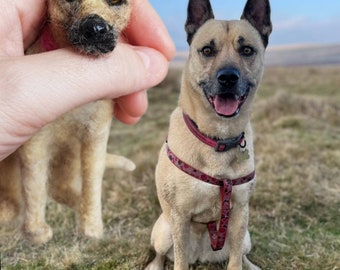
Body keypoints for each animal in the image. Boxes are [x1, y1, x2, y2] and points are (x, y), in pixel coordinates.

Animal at [0, 0, 133, 245]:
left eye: (116, 2)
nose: (95, 28)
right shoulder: (34, 142)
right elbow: (33, 183)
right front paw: (36, 231)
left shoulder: (96, 134)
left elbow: (92, 178)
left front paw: (91, 227)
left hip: (71, 156)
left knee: (61, 188)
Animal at [146, 0, 270, 270]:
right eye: (207, 50)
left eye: (247, 50)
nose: (228, 78)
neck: (217, 139)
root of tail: (202, 255)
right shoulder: (179, 216)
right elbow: (180, 262)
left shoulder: (239, 212)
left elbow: (235, 261)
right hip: (164, 229)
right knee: (161, 253)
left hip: (245, 235)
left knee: (242, 254)